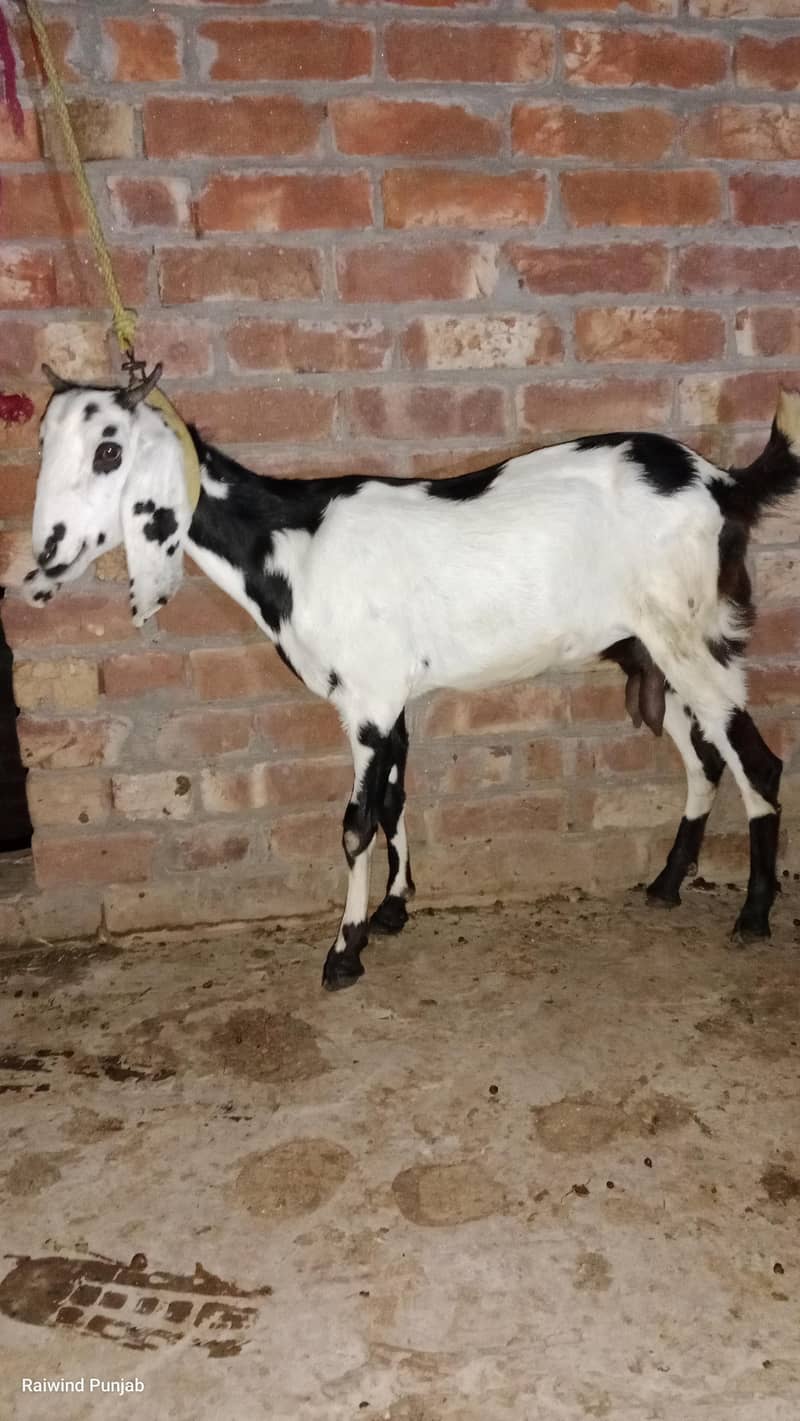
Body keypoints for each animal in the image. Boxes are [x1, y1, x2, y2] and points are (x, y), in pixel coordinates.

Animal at [24, 365, 800, 989]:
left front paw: (344, 951)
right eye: (44, 446)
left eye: (109, 450)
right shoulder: (389, 697)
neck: (292, 543)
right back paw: (667, 882)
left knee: (757, 762)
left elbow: (356, 824)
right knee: (706, 758)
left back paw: (753, 915)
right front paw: (395, 907)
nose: (47, 554)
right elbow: (395, 801)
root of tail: (723, 484)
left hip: (690, 637)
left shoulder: (366, 700)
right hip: (654, 648)